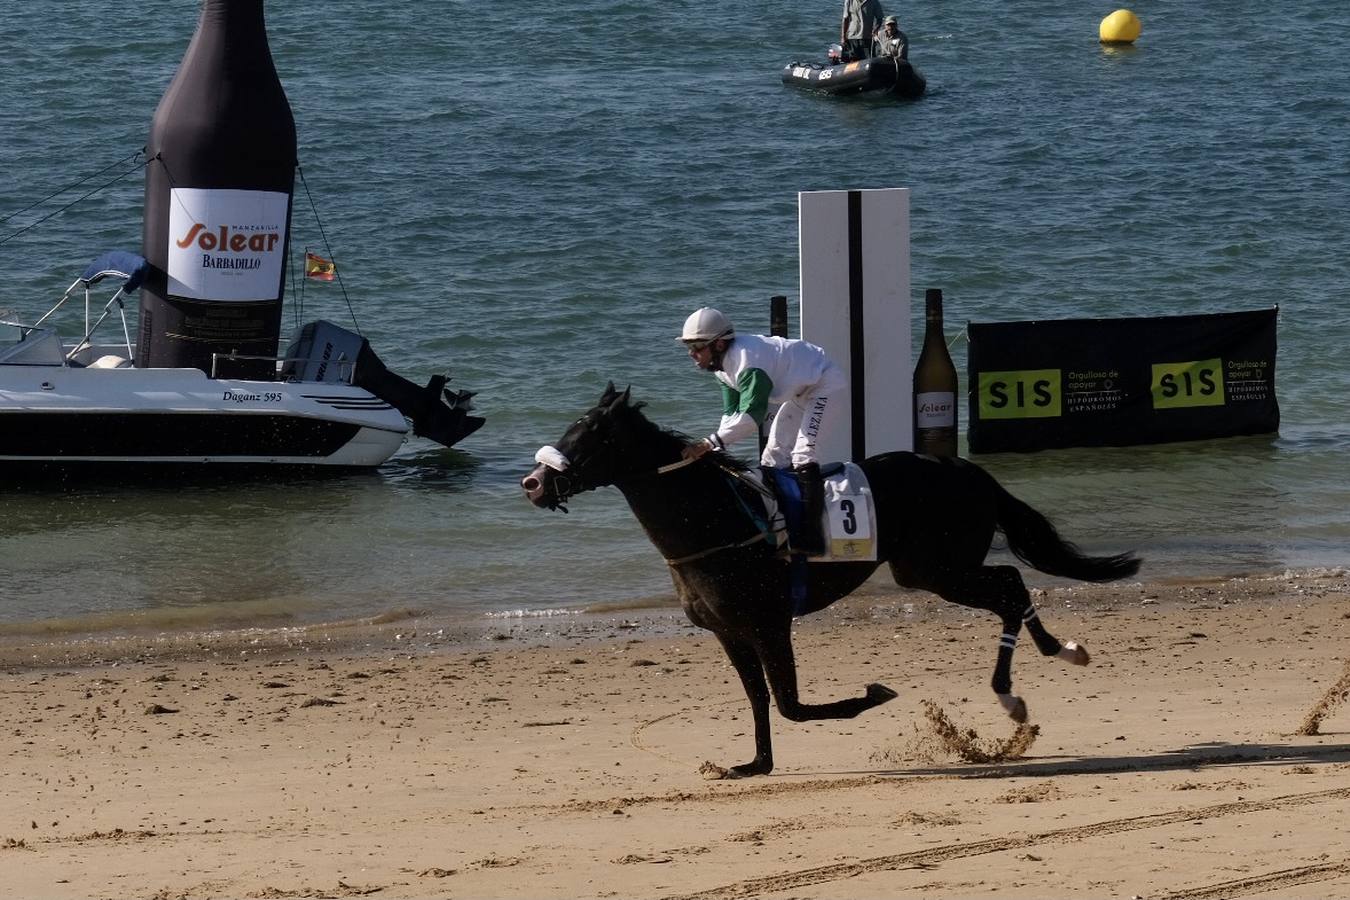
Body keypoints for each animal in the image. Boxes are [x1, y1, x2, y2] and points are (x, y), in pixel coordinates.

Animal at [518, 383, 1139, 777]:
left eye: (588, 437)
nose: (532, 483)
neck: (717, 524)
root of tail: (965, 468)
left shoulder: (770, 624)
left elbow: (791, 704)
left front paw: (874, 694)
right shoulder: (729, 631)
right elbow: (759, 698)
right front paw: (753, 765)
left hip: (938, 569)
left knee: (1009, 583)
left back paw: (1016, 691)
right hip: (932, 569)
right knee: (1011, 581)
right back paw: (1058, 651)